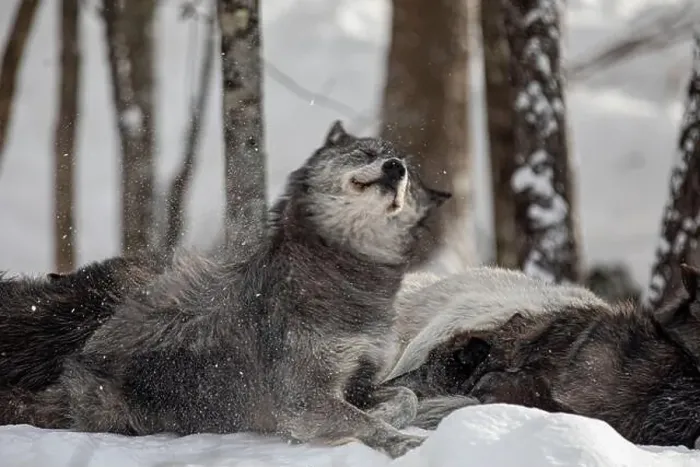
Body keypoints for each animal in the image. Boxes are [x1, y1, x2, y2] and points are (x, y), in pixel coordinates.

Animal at [0, 121, 450, 459]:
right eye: (365, 154)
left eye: (407, 175)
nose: (395, 168)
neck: (347, 279)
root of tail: (78, 358)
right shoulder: (304, 399)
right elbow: (364, 421)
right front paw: (402, 442)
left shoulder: (360, 382)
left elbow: (405, 396)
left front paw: (393, 416)